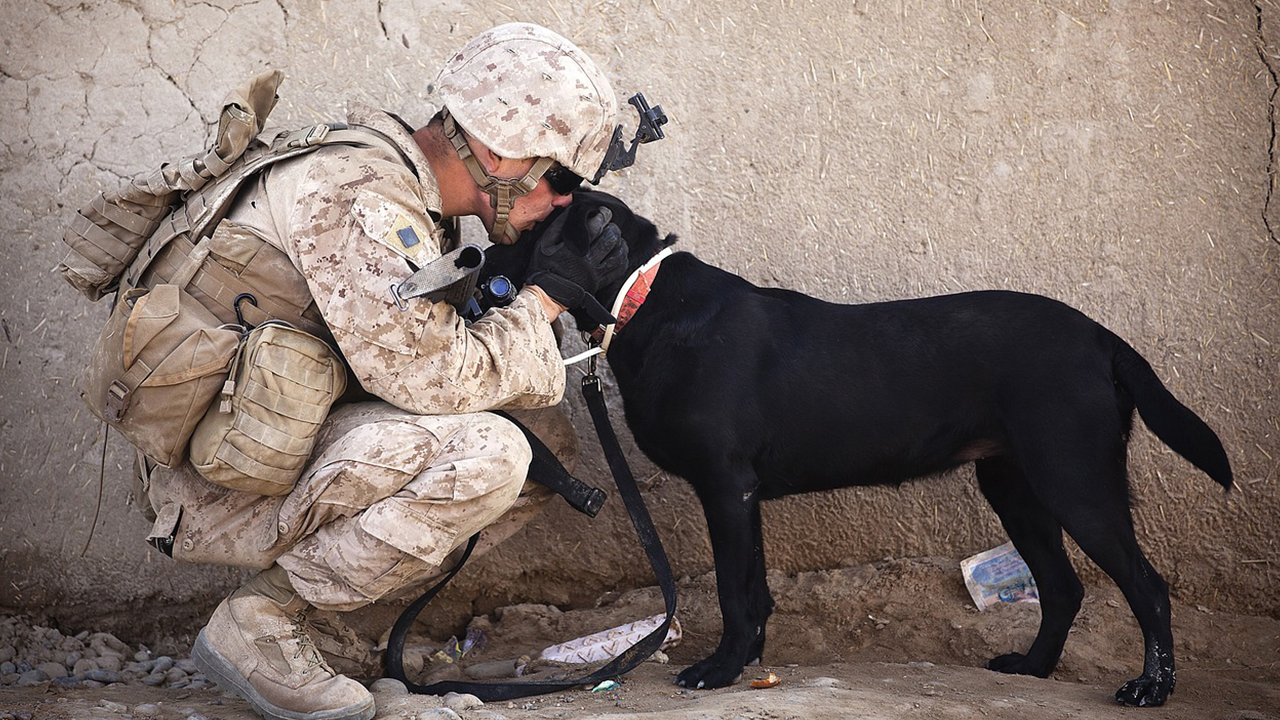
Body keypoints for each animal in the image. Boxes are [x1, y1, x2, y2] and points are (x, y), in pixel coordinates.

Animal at [486, 188, 1228, 702]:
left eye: (532, 232)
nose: (475, 255)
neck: (645, 299)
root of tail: (1101, 336)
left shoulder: (726, 487)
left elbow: (732, 589)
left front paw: (720, 670)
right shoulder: (743, 495)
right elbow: (754, 589)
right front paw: (747, 662)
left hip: (1075, 479)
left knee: (1146, 586)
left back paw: (1150, 688)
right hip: (1014, 484)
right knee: (1065, 587)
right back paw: (1034, 668)